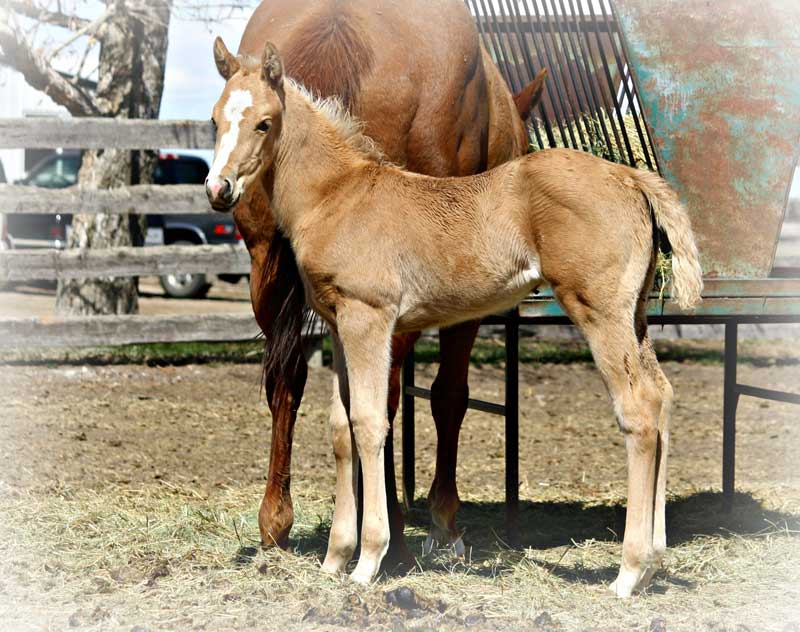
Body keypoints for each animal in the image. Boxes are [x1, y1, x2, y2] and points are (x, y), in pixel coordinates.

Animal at [209, 42, 704, 596]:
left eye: (264, 123)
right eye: (214, 120)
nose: (218, 188)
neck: (337, 195)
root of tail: (632, 175)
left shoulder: (369, 319)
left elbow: (369, 423)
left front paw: (368, 560)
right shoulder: (338, 326)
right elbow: (340, 429)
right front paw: (334, 559)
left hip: (599, 311)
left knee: (637, 410)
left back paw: (629, 572)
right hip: (634, 313)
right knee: (661, 398)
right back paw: (655, 558)